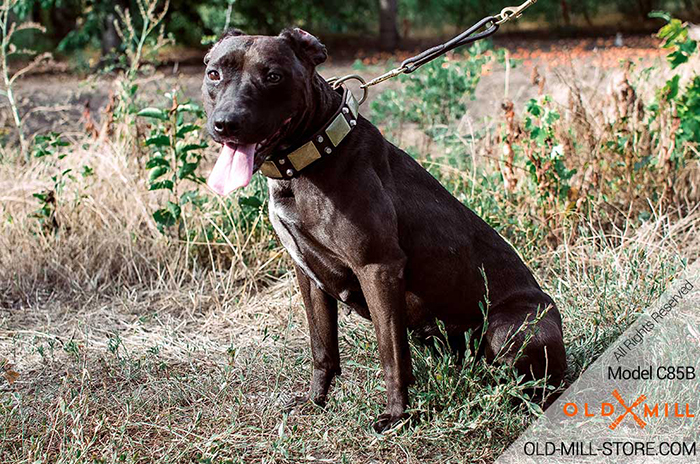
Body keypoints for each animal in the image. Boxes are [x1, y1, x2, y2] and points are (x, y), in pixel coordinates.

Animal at [205, 27, 568, 434]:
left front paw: (397, 415)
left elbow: (391, 354)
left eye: (272, 76)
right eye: (214, 74)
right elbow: (322, 348)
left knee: (540, 380)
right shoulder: (309, 275)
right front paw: (316, 401)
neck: (310, 158)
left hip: (513, 329)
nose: (226, 123)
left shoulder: (378, 268)